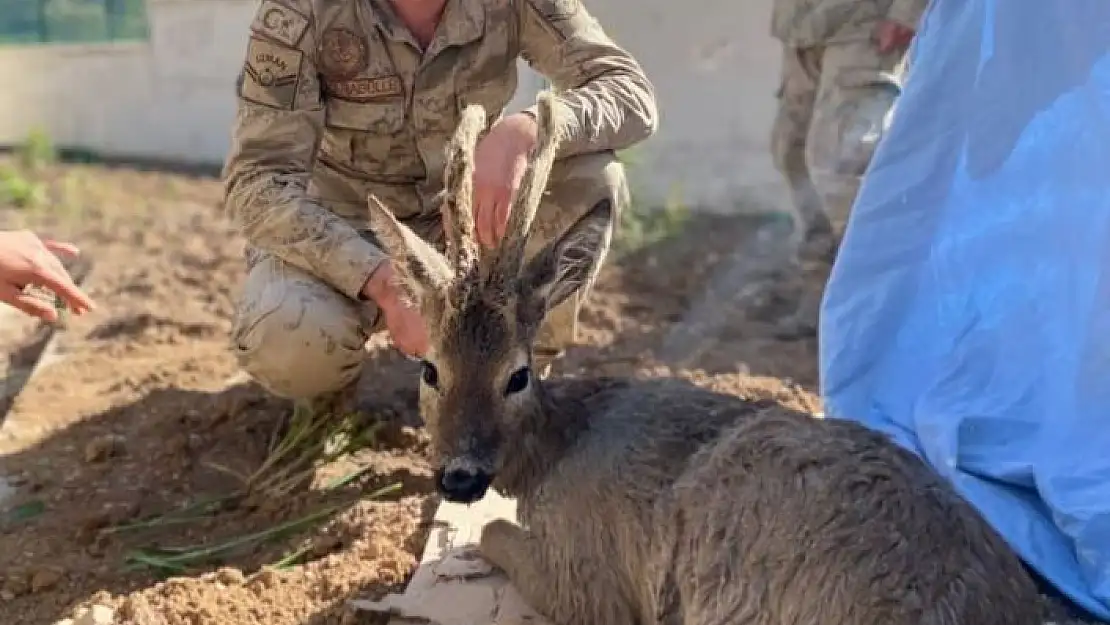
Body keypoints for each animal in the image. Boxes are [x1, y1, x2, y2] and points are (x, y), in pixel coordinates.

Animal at [361, 89, 1038, 625]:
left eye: (518, 376)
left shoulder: (592, 578)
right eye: (431, 370)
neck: (555, 450)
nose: (461, 475)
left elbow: (494, 532)